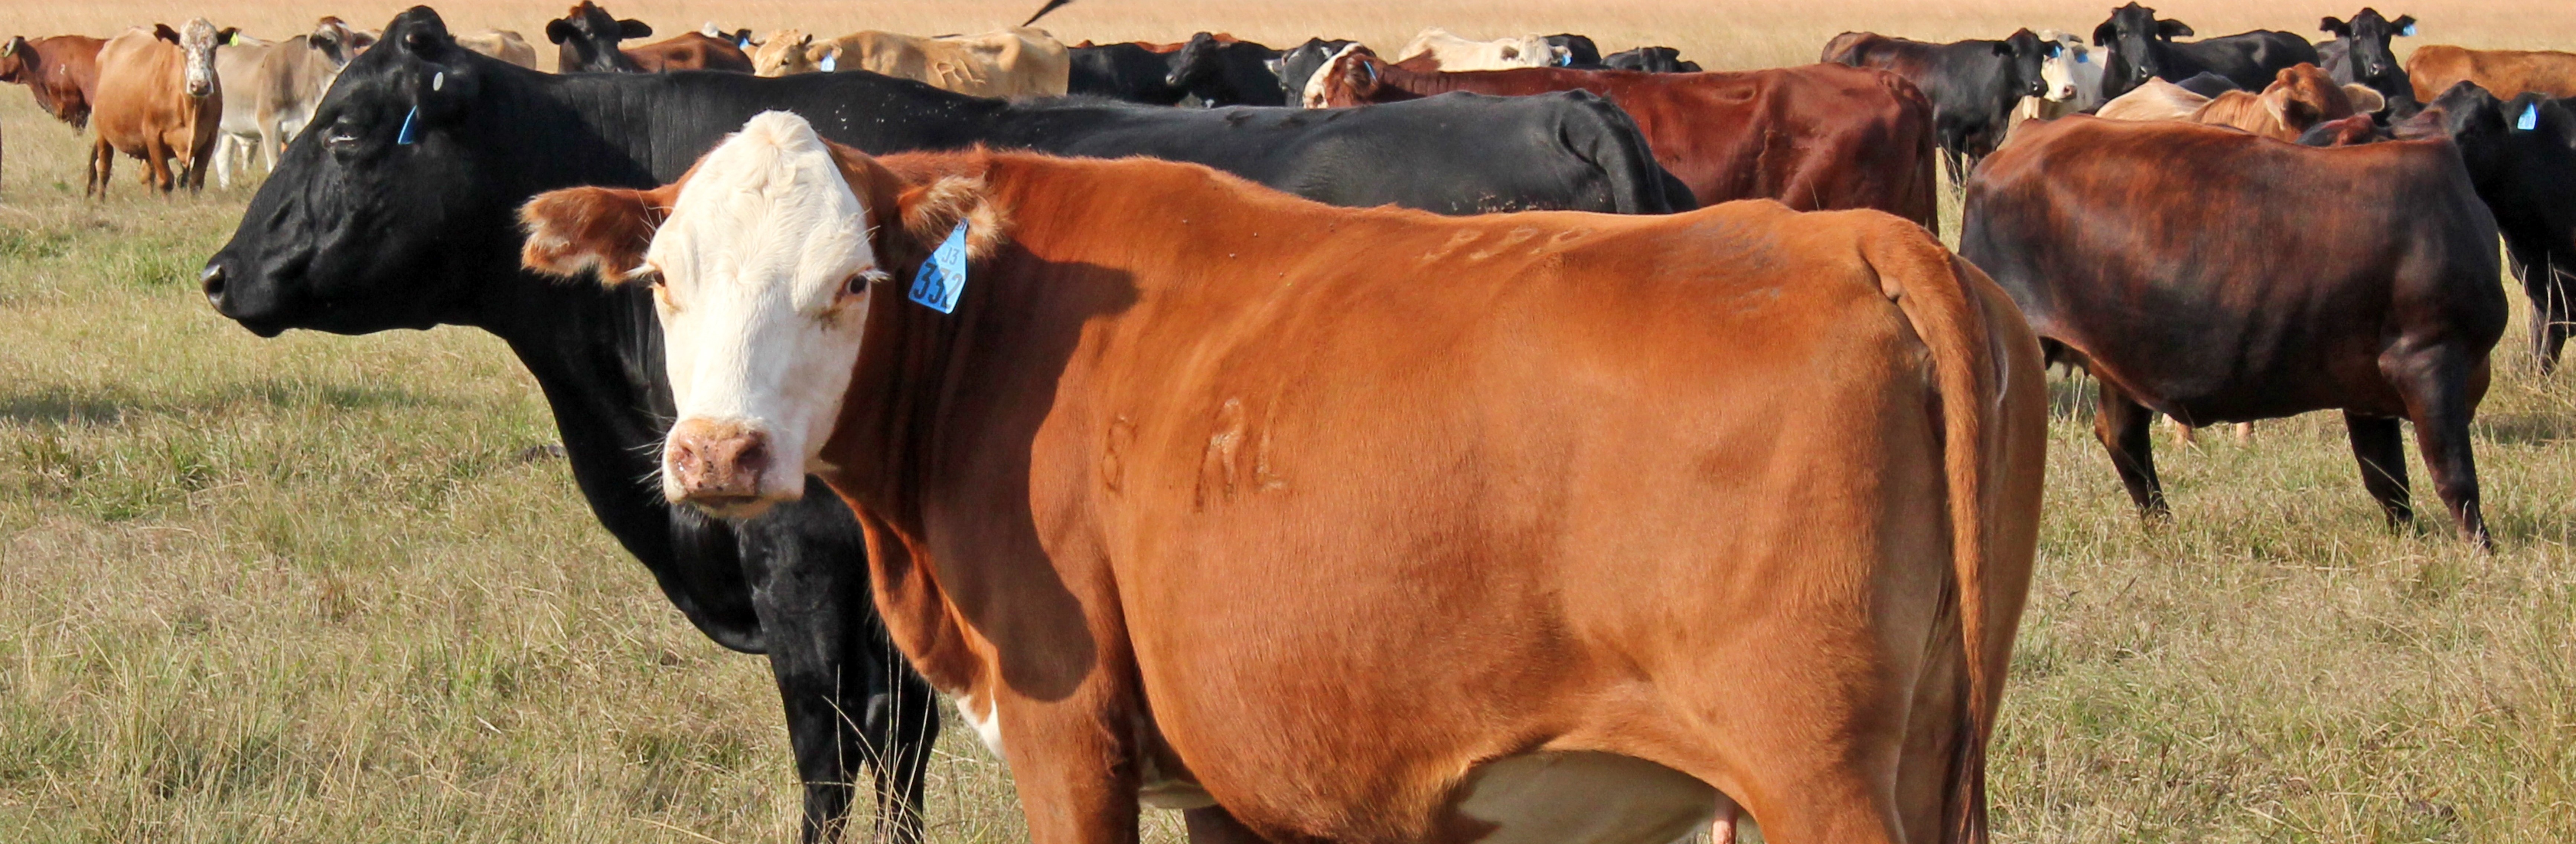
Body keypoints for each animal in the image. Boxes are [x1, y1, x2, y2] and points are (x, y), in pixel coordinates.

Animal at [89, 20, 223, 195]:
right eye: (182, 47)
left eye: (214, 47)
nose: (200, 85)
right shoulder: (153, 136)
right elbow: (166, 181)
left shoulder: (210, 138)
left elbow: (195, 182)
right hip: (102, 134)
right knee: (103, 169)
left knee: (147, 175)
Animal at [519, 107, 2045, 844]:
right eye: (661, 279)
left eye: (850, 282)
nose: (719, 452)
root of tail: (1856, 236)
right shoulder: (1221, 774)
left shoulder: (1069, 735)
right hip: (1920, 757)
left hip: (1816, 775)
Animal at [1823, 29, 2050, 184]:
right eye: (2016, 54)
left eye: (2041, 55)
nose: (2038, 85)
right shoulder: (1949, 139)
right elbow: (1957, 183)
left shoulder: (1984, 145)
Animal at [1961, 115, 2502, 545]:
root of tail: (2026, 138)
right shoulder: (2428, 358)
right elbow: (2454, 474)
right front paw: (2481, 552)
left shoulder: (2366, 387)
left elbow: (2386, 478)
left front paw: (2408, 538)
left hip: (2116, 355)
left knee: (2121, 438)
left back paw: (2162, 527)